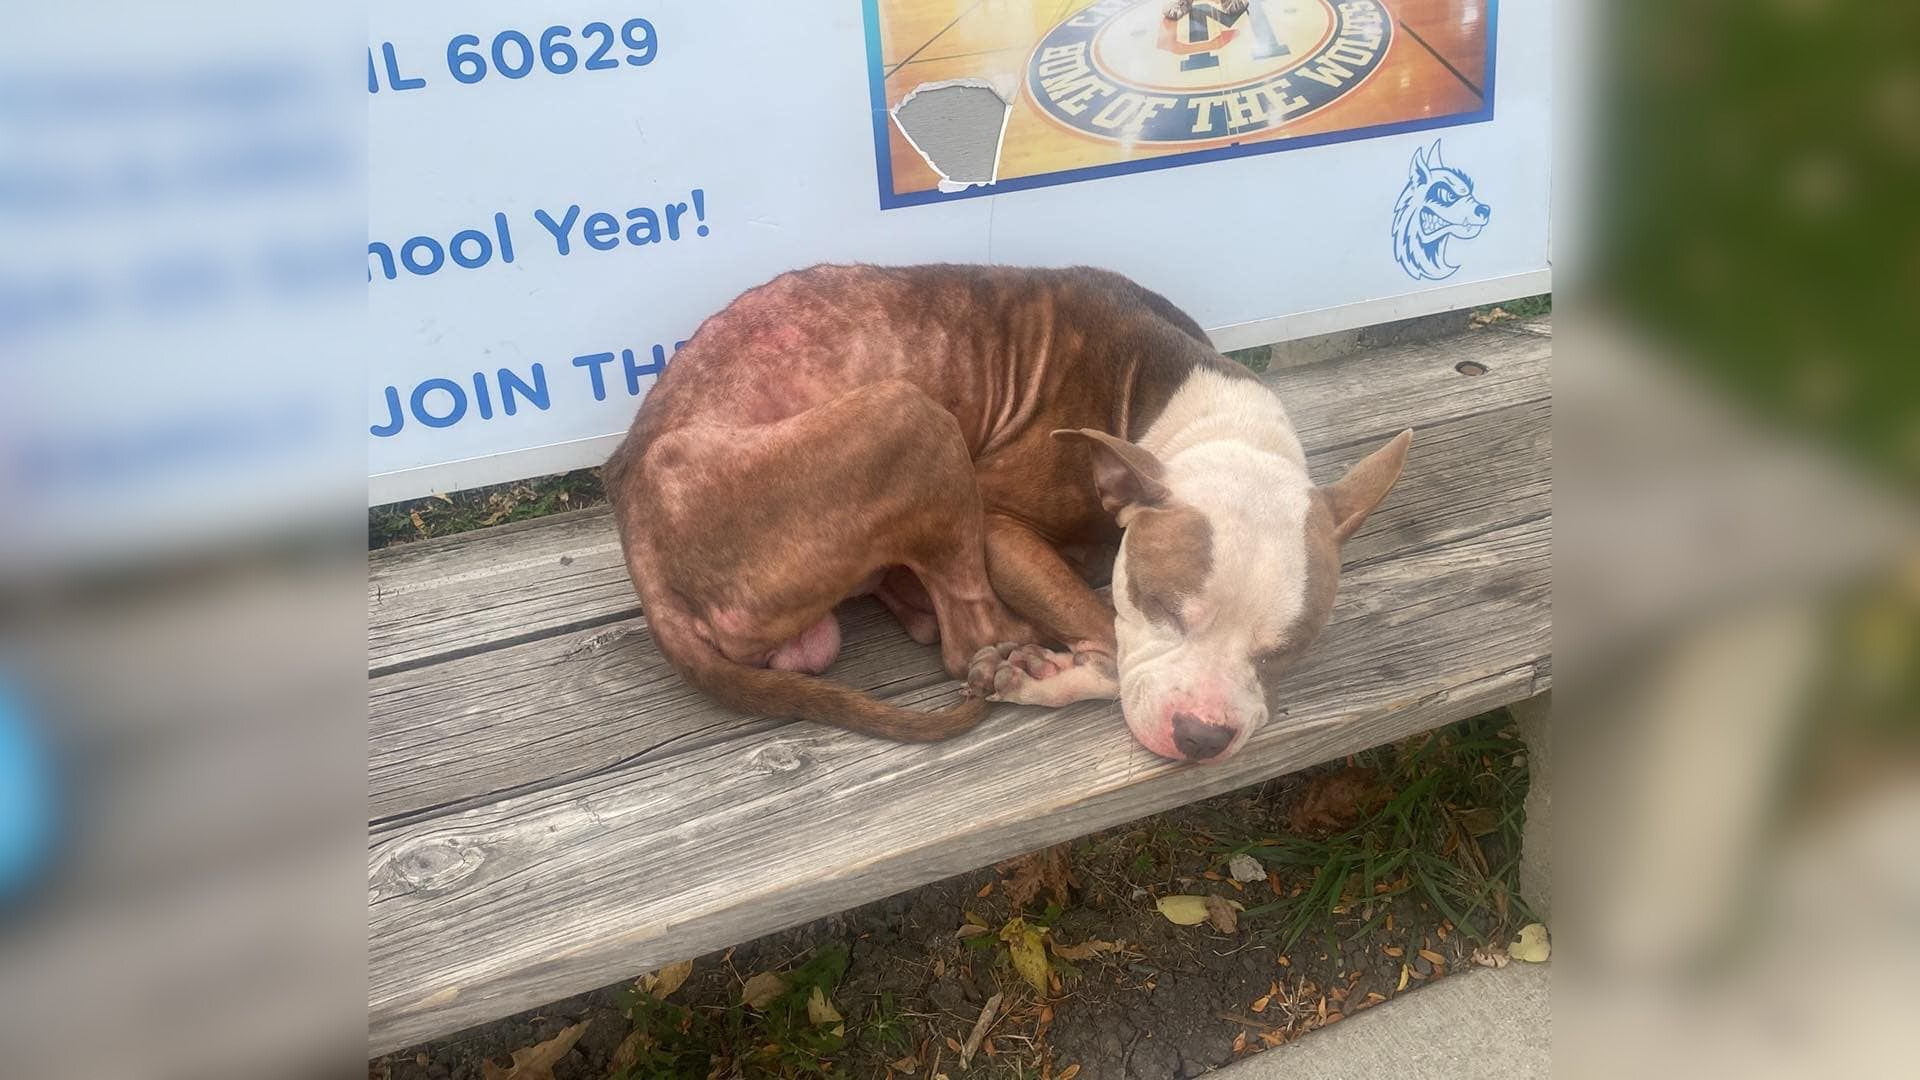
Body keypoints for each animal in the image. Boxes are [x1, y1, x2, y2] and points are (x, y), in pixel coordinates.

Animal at [602, 265, 1413, 760]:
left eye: (1284, 650)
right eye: (1162, 609)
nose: (1203, 737)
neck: (1200, 414)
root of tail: (632, 507)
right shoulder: (1000, 526)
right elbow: (1112, 642)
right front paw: (1049, 674)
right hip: (913, 419)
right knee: (965, 640)